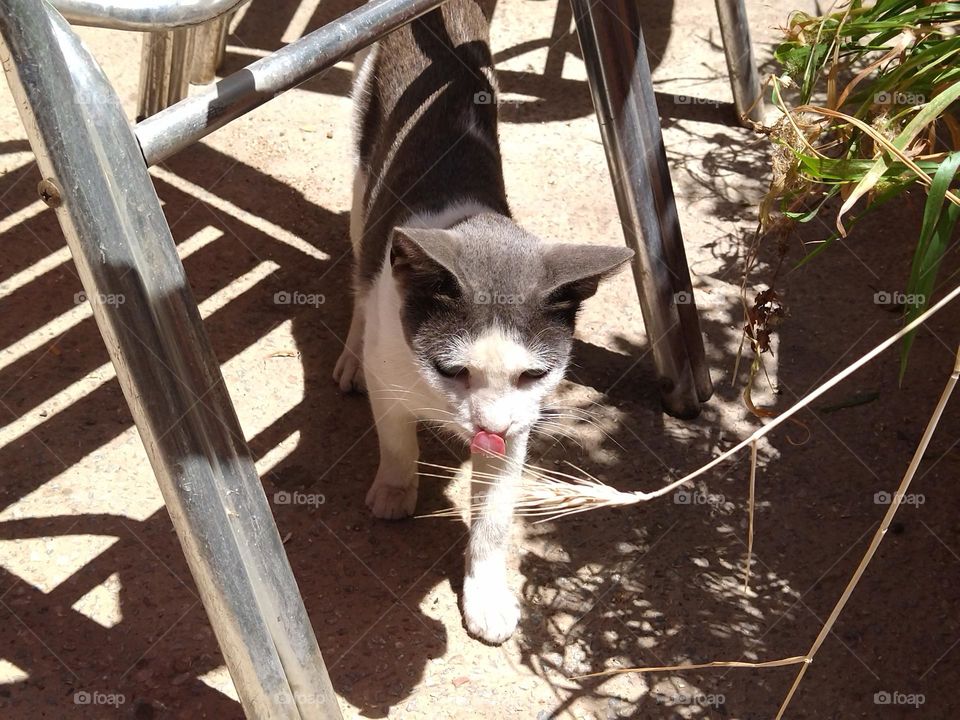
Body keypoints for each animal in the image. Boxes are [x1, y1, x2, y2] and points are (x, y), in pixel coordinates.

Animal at [334, 0, 632, 640]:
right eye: (453, 370)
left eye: (533, 375)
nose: (489, 426)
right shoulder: (391, 376)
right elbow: (396, 439)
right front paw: (395, 490)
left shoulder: (521, 423)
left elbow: (493, 519)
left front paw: (487, 596)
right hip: (363, 177)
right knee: (359, 271)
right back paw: (349, 356)